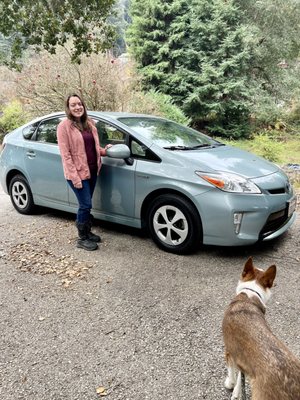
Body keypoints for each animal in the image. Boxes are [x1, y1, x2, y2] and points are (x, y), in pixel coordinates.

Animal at [221, 258, 300, 398]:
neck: (249, 294)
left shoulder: (229, 351)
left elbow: (232, 372)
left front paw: (230, 384)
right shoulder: (242, 360)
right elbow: (240, 378)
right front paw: (236, 392)